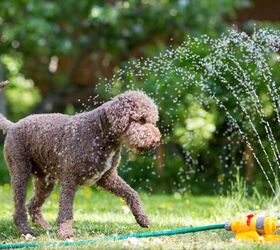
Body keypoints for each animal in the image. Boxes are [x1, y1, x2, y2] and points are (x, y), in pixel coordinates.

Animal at [0, 81, 161, 238]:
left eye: (153, 121)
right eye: (141, 119)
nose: (157, 140)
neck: (99, 133)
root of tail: (13, 125)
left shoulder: (108, 177)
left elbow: (132, 193)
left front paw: (142, 218)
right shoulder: (70, 179)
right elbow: (66, 210)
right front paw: (65, 233)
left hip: (46, 181)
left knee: (32, 205)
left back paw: (44, 227)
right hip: (20, 173)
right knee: (19, 208)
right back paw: (26, 231)